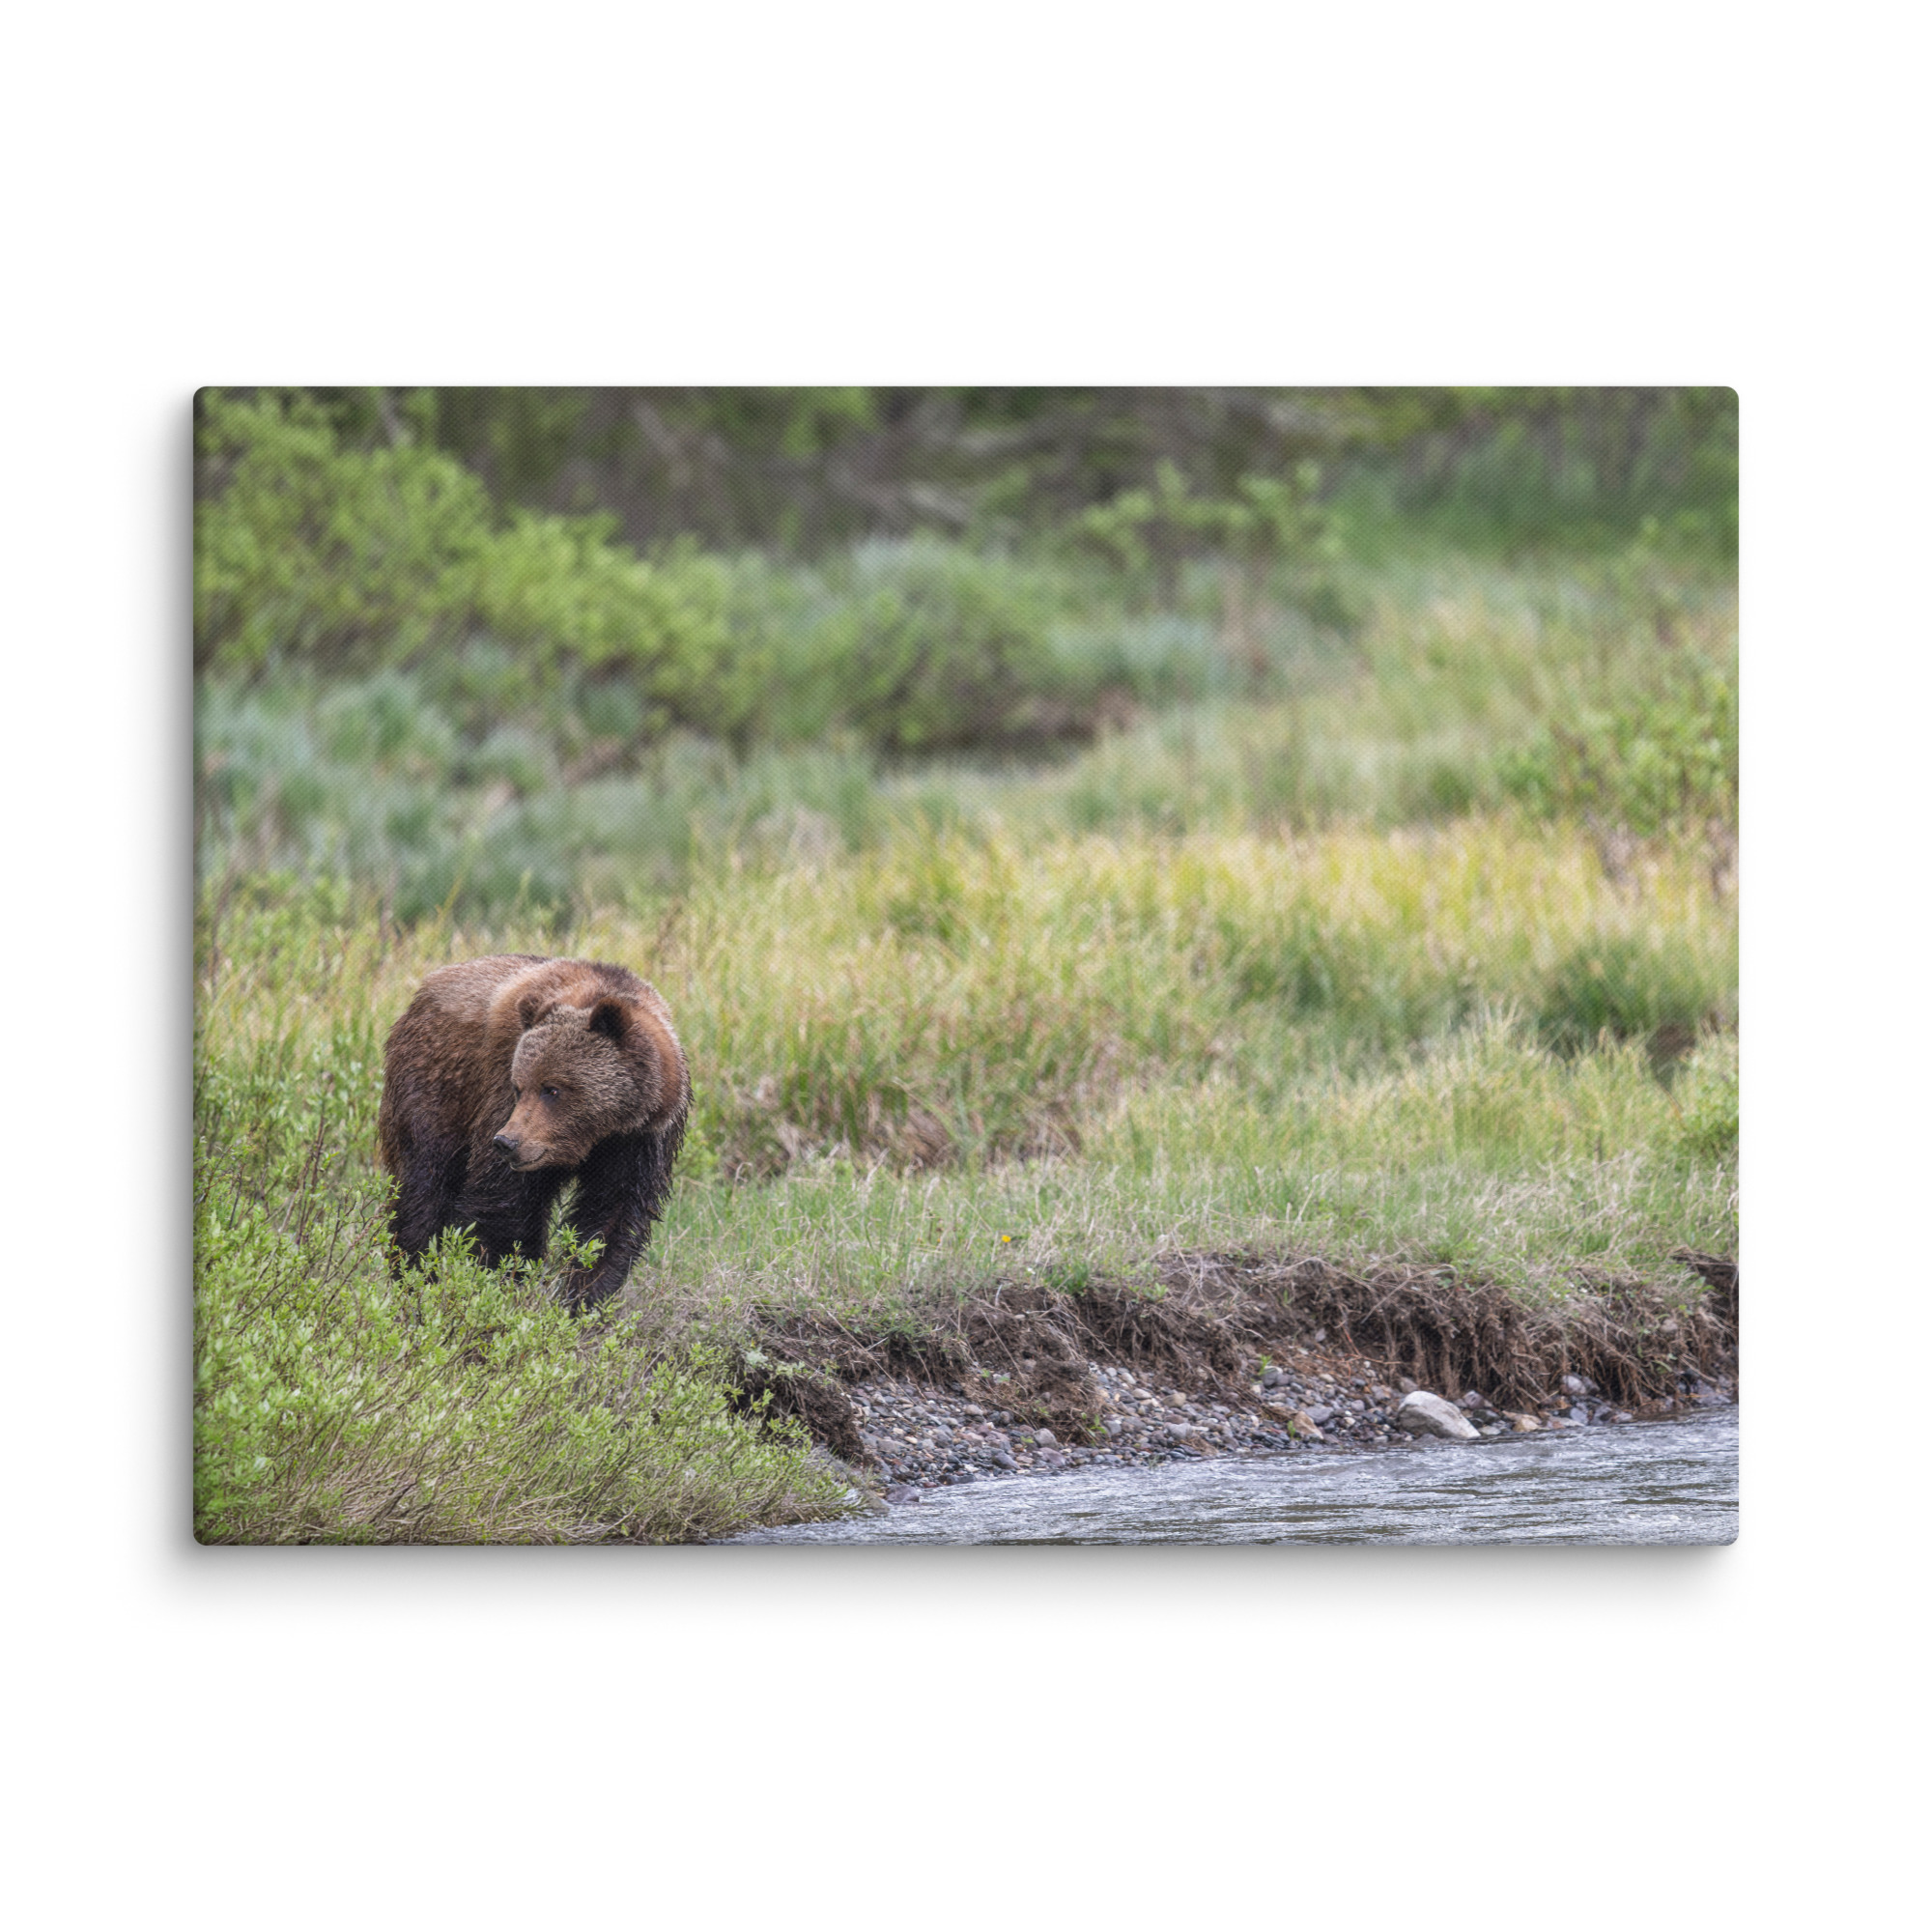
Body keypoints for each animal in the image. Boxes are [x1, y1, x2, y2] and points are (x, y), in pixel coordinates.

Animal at [376, 954, 689, 1311]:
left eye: (552, 1089)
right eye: (519, 1087)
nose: (507, 1143)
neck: (597, 1134)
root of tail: (424, 990)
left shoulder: (640, 1141)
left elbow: (611, 1217)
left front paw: (584, 1298)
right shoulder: (499, 1091)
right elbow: (503, 1206)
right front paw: (498, 1282)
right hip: (435, 1086)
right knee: (423, 1185)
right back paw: (414, 1278)